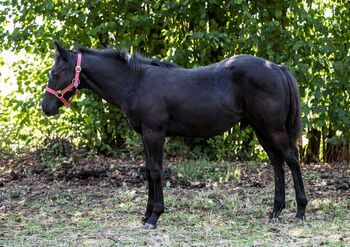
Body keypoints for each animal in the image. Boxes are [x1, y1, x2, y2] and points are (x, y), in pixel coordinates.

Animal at [42, 42, 308, 230]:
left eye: (55, 73)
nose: (46, 107)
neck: (135, 83)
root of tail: (277, 68)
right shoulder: (144, 135)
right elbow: (148, 172)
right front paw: (145, 215)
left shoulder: (155, 133)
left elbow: (157, 172)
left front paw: (154, 217)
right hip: (260, 128)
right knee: (276, 162)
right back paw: (275, 212)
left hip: (272, 128)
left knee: (291, 159)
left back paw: (300, 211)